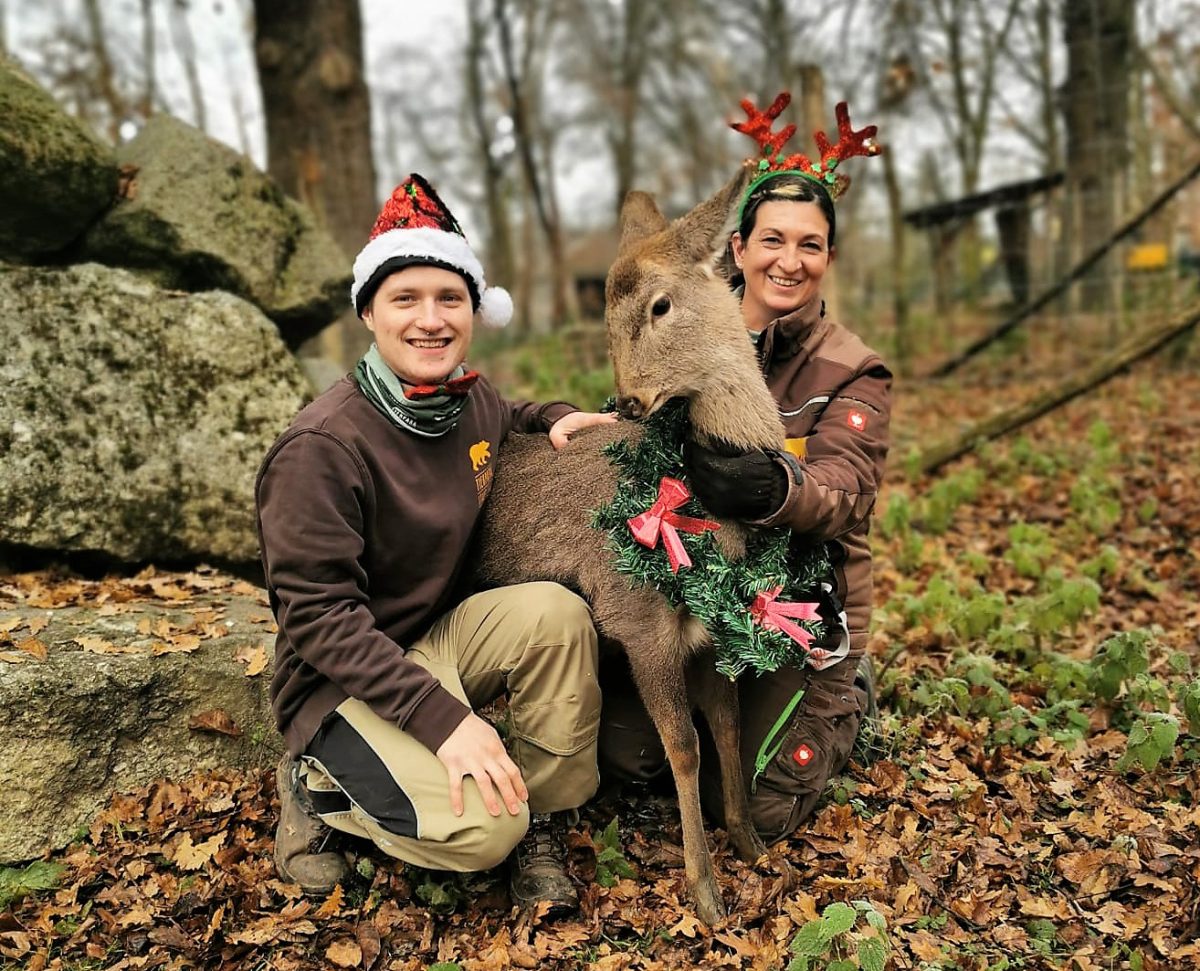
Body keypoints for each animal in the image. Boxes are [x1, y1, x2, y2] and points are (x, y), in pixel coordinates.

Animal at [472, 168, 792, 926]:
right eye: (606, 320)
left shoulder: (714, 628)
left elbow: (728, 730)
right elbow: (684, 747)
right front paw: (706, 891)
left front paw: (753, 845)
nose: (627, 401)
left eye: (660, 304)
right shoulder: (640, 620)